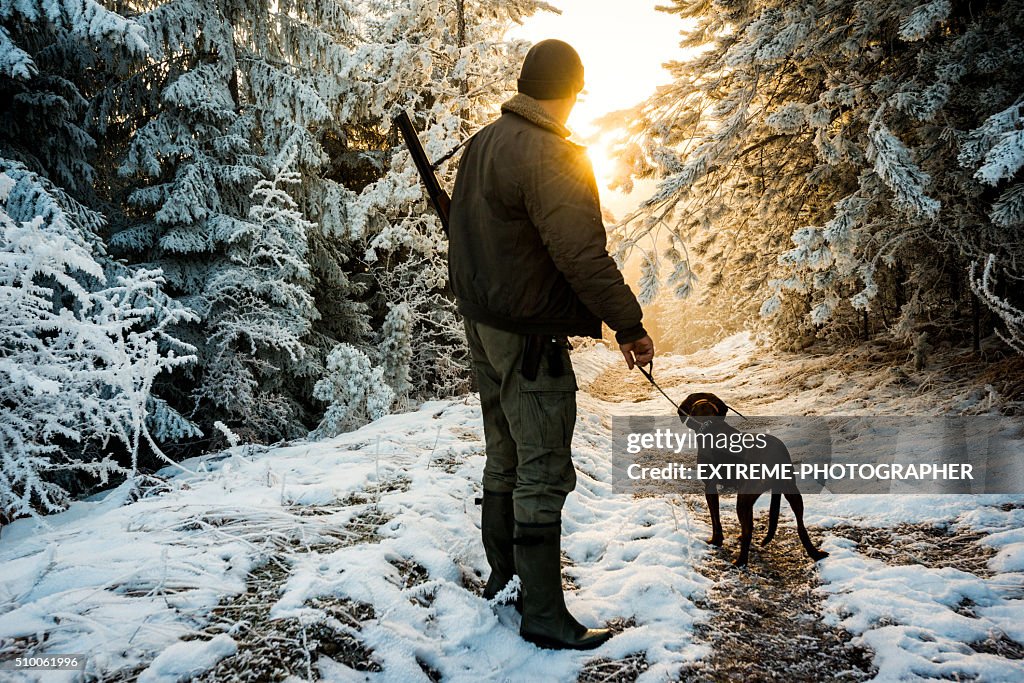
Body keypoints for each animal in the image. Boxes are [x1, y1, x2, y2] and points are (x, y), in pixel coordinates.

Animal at [675, 393, 827, 569]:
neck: (711, 424)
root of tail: (774, 456)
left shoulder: (710, 487)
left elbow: (716, 519)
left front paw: (716, 540)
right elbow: (750, 521)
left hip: (743, 499)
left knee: (748, 532)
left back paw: (740, 561)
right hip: (790, 491)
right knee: (801, 526)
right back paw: (815, 554)